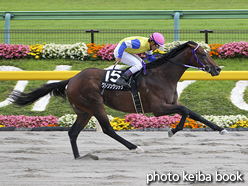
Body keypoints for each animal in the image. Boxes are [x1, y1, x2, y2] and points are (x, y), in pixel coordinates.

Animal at [10, 40, 228, 158]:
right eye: (203, 54)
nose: (217, 69)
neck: (162, 75)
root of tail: (72, 79)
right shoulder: (159, 108)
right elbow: (184, 112)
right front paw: (172, 131)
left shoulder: (172, 103)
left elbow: (193, 113)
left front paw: (220, 129)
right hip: (95, 105)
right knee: (108, 129)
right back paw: (135, 147)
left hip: (83, 111)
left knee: (73, 133)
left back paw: (79, 157)